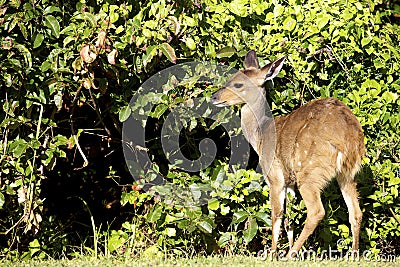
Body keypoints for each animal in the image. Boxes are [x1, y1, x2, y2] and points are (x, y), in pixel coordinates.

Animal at [212, 51, 366, 258]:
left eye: (238, 84)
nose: (214, 97)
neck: (260, 136)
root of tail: (348, 137)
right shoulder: (290, 181)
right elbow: (290, 218)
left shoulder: (275, 177)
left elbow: (276, 215)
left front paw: (272, 253)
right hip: (348, 174)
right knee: (355, 212)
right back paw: (353, 255)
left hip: (310, 172)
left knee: (317, 211)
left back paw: (290, 254)